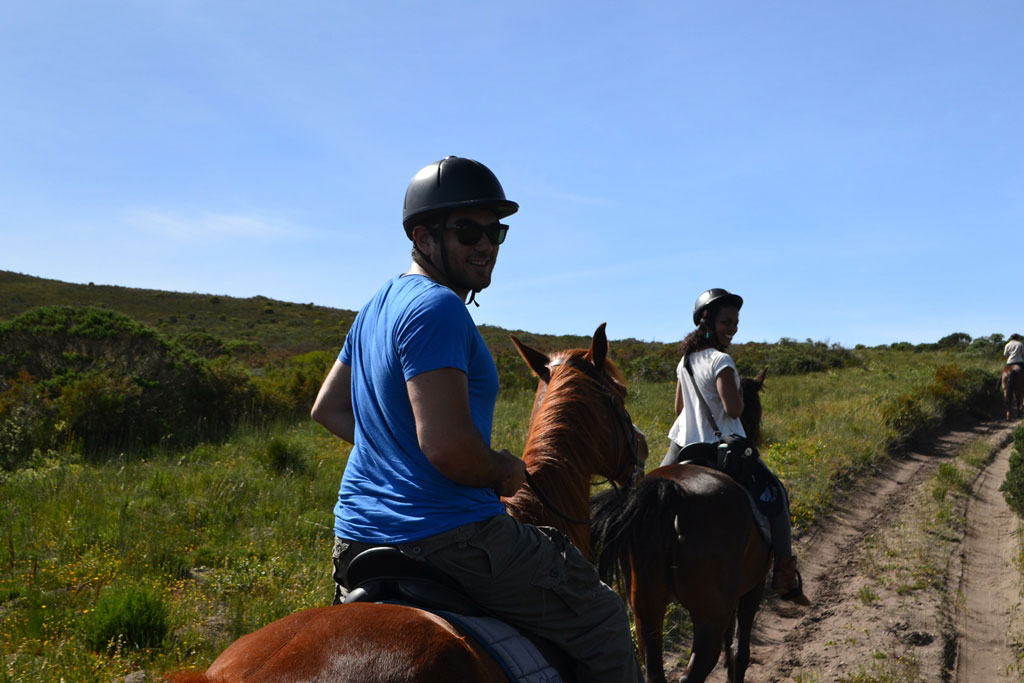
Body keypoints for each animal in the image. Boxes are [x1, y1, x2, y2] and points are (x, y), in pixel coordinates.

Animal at [593, 370, 770, 683]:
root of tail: (670, 494)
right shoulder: (752, 588)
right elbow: (739, 651)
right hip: (709, 614)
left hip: (646, 611)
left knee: (655, 671)